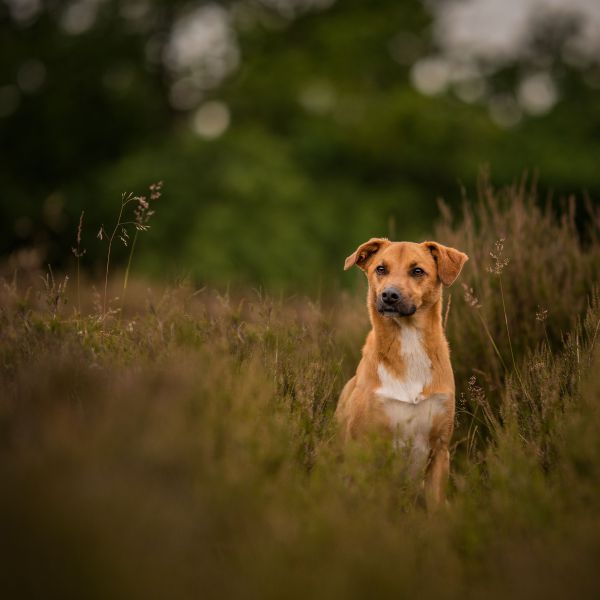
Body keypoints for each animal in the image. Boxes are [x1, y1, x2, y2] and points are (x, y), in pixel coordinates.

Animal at [338, 238, 468, 506]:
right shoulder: (365, 449)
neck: (408, 342)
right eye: (381, 269)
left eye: (417, 271)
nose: (389, 295)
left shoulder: (439, 450)